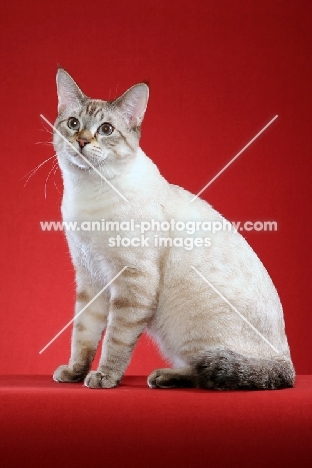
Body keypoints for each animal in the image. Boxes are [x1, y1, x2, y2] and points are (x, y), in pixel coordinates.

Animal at [51, 67, 294, 390]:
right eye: (73, 124)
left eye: (106, 129)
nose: (82, 141)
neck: (87, 191)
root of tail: (288, 363)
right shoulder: (90, 277)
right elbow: (82, 336)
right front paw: (75, 373)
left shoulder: (133, 281)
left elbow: (115, 340)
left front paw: (104, 377)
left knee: (210, 370)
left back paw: (164, 376)